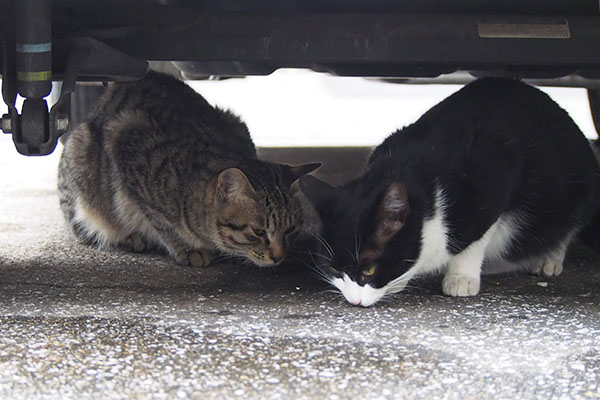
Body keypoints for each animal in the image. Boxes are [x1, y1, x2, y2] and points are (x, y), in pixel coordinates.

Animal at [58, 70, 318, 268]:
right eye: (258, 231)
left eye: (291, 229)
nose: (279, 257)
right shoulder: (126, 144)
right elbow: (159, 220)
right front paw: (186, 247)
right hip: (81, 156)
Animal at [302, 79, 600, 310]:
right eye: (334, 269)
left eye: (369, 270)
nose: (354, 301)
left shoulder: (492, 188)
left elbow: (475, 239)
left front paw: (461, 277)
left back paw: (548, 258)